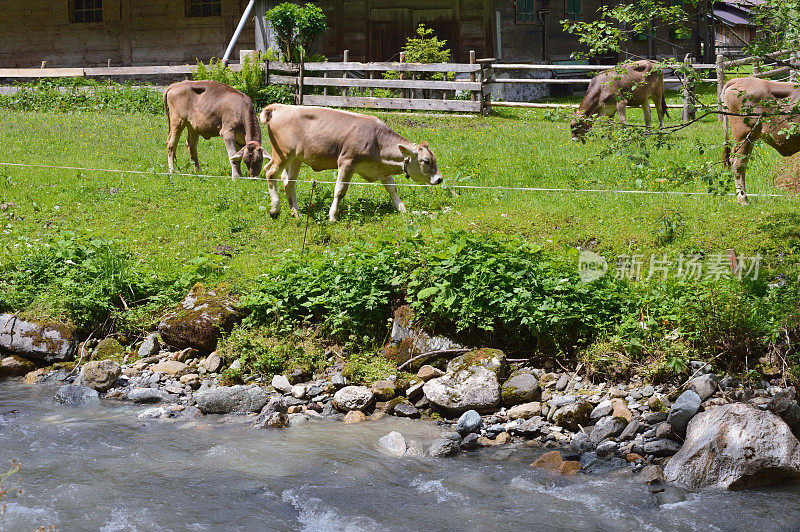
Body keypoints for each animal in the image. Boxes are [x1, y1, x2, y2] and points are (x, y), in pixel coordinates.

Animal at [258, 104, 440, 222]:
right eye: (426, 161)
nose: (439, 178)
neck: (377, 140)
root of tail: (280, 107)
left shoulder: (380, 168)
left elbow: (391, 187)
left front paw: (402, 208)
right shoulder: (347, 162)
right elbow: (340, 190)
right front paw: (332, 216)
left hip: (296, 158)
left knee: (289, 181)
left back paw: (296, 213)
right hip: (282, 153)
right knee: (270, 173)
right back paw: (275, 209)